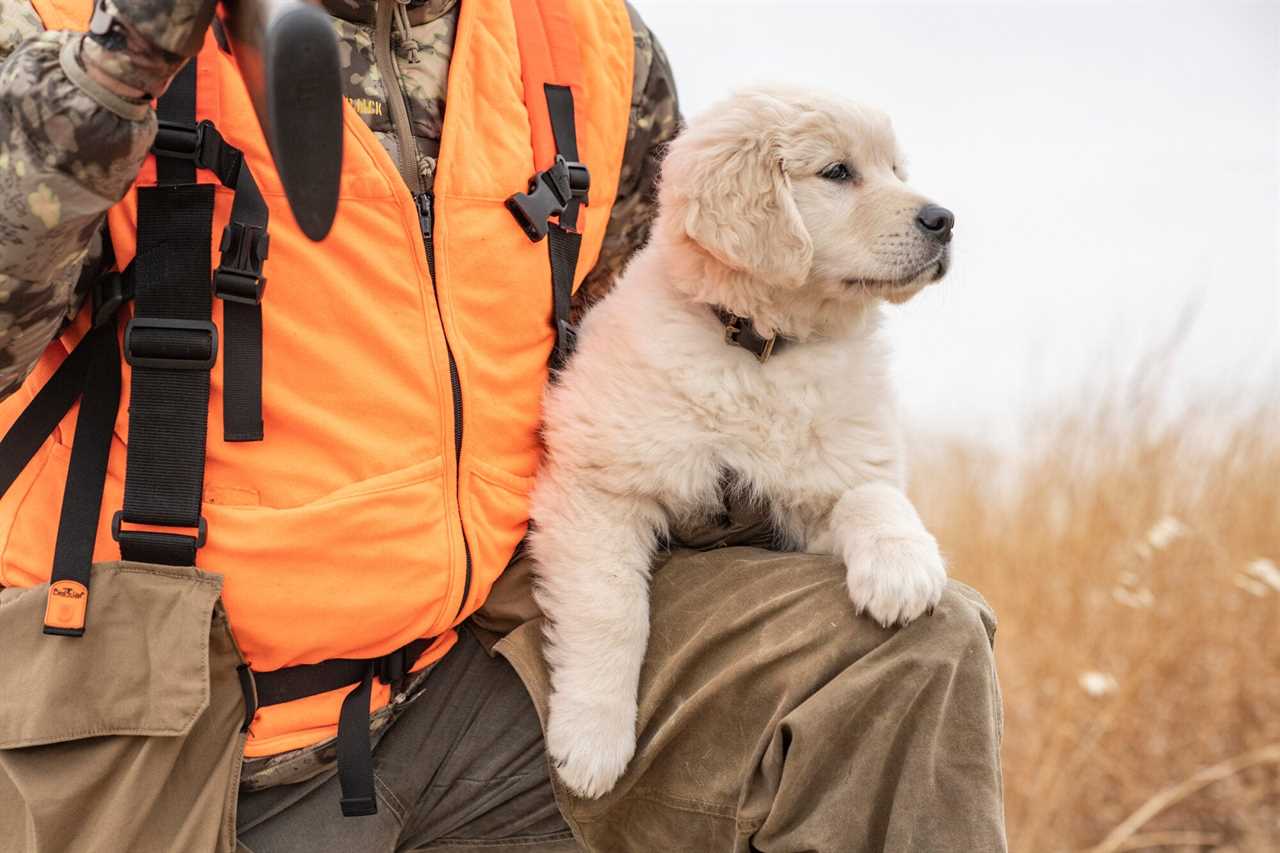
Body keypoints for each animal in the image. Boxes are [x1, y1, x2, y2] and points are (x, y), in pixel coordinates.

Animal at [524, 87, 957, 799]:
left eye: (896, 170)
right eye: (838, 172)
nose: (944, 219)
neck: (760, 349)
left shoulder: (817, 489)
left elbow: (871, 494)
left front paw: (903, 567)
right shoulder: (599, 486)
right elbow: (611, 609)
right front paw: (592, 742)